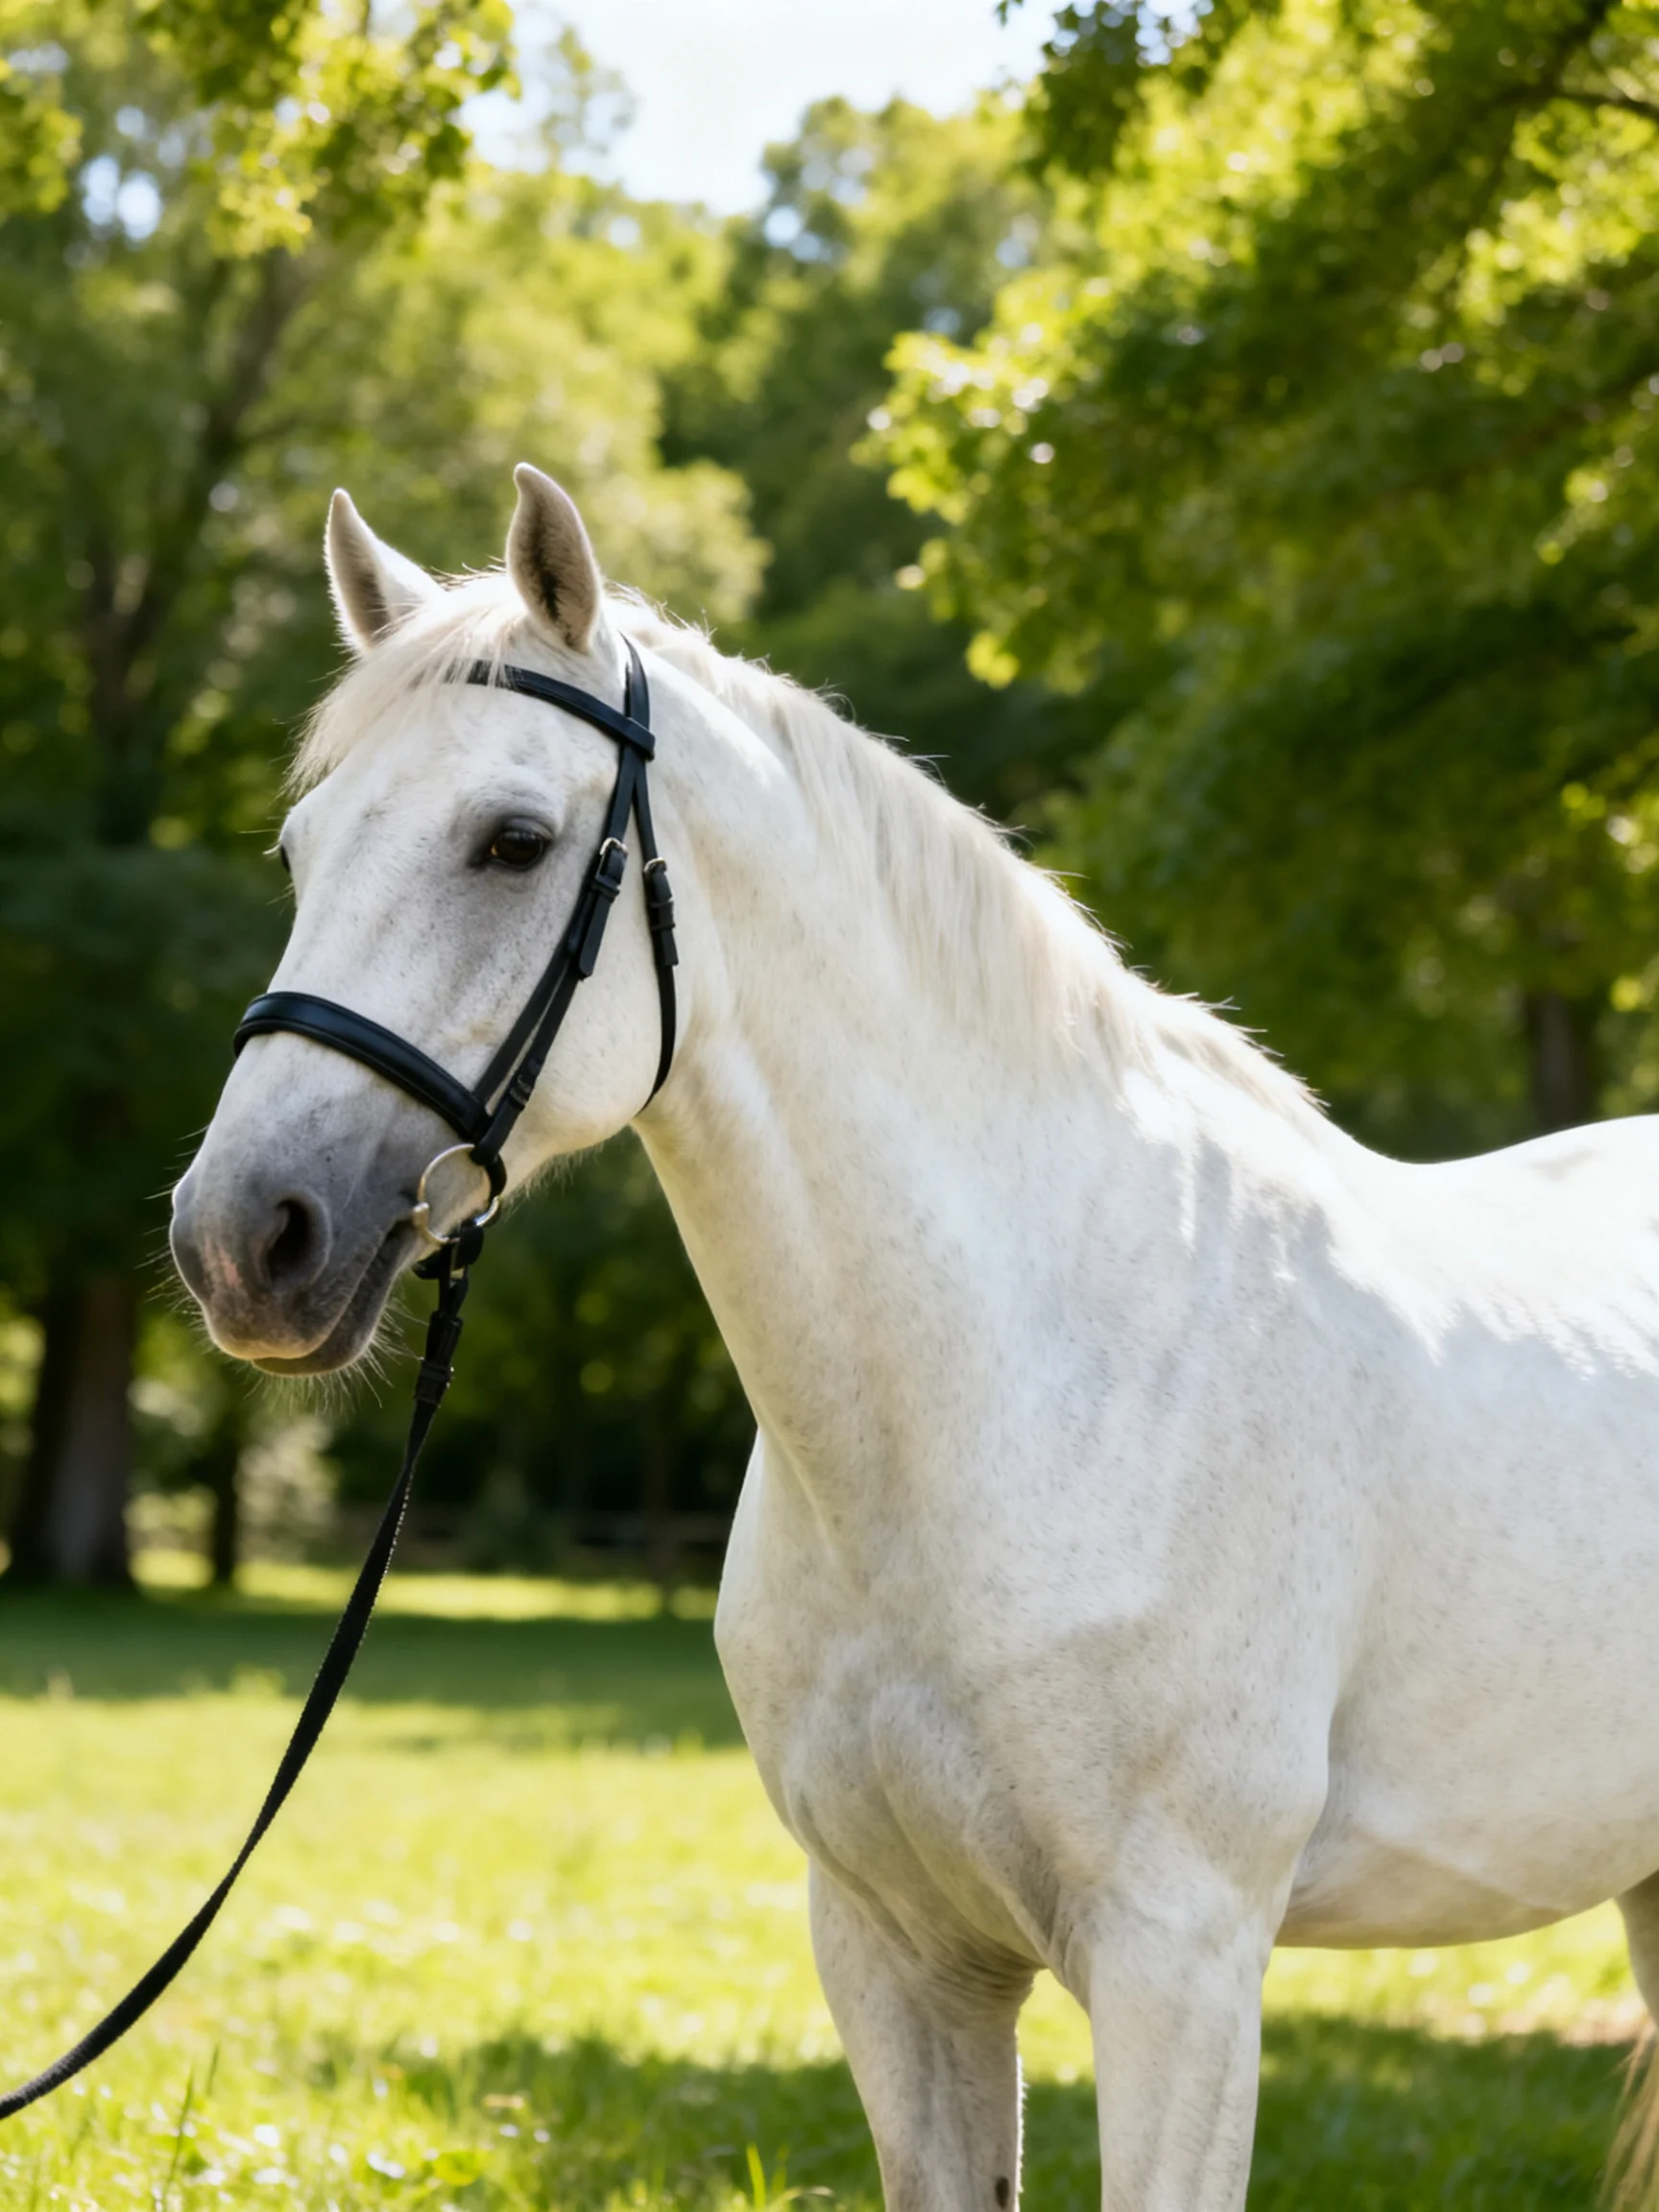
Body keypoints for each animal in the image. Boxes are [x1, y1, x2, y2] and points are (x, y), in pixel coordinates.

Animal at [171, 464, 1659, 2211]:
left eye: (512, 840)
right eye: (300, 846)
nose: (242, 1238)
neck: (1010, 1385)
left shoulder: (1182, 1964)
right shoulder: (895, 1952)